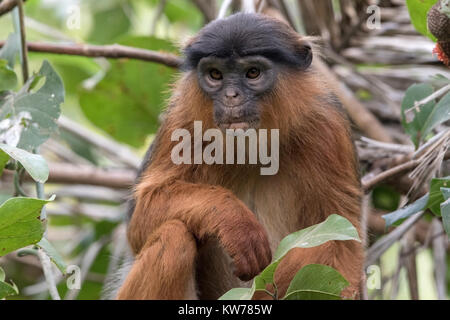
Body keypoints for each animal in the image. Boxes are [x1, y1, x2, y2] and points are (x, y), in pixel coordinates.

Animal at [115, 13, 362, 300]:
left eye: (252, 72)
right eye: (215, 74)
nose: (231, 96)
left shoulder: (328, 125)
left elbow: (342, 244)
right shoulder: (182, 118)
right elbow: (139, 219)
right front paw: (234, 221)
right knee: (173, 235)